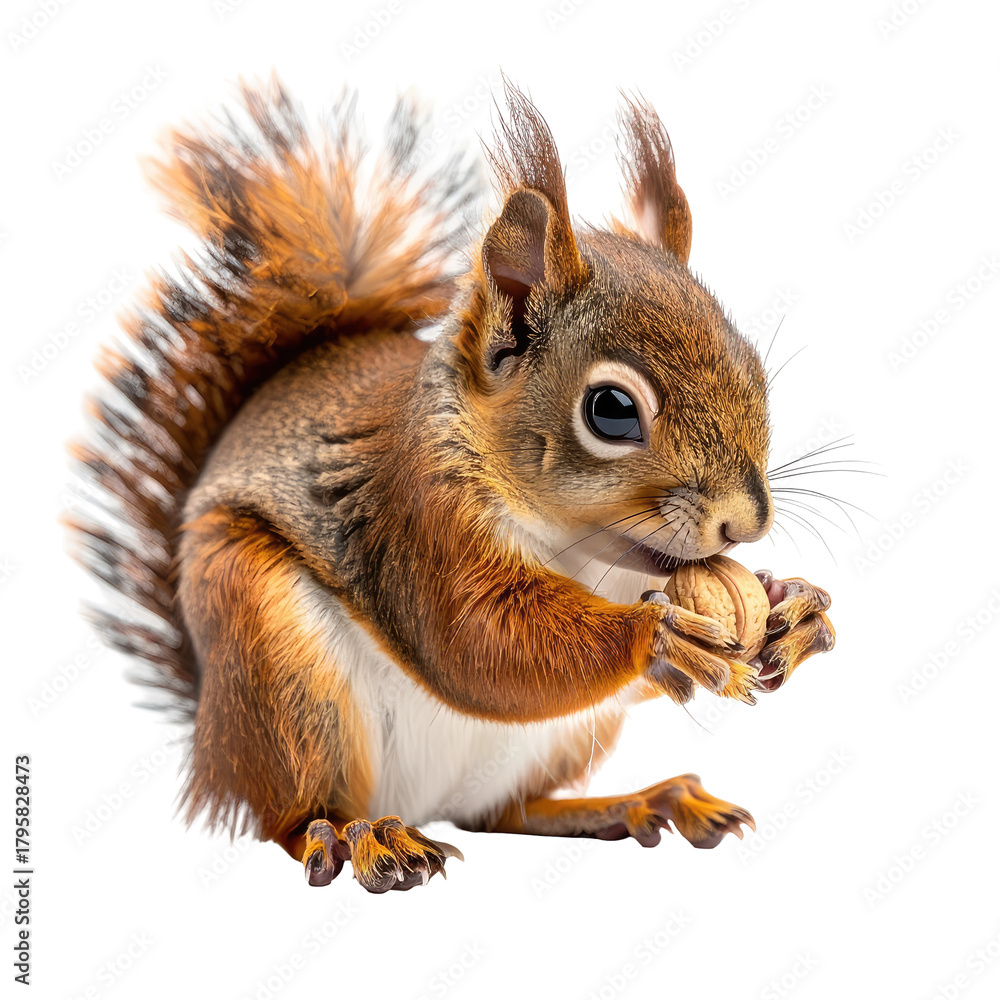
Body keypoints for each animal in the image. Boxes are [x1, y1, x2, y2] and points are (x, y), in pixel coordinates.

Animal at [68, 79, 836, 893]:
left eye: (754, 368)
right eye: (611, 410)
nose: (745, 524)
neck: (582, 553)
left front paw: (794, 607)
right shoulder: (416, 518)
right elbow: (475, 642)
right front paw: (657, 634)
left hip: (554, 742)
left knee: (503, 812)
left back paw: (637, 801)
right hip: (276, 667)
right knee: (291, 816)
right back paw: (359, 837)